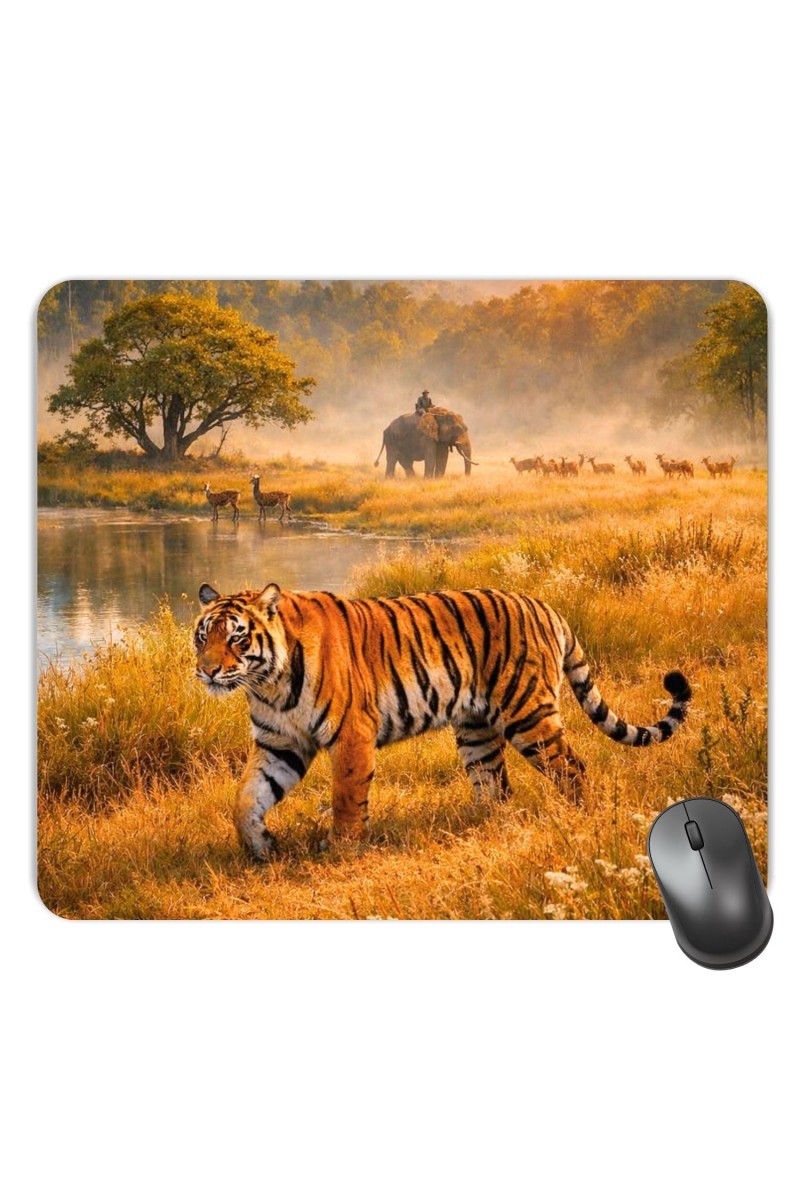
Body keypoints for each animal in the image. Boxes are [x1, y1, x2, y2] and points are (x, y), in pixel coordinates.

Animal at [194, 582, 691, 861]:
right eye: (203, 635)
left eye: (237, 637)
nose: (208, 671)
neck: (267, 682)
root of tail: (545, 606)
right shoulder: (280, 743)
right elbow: (246, 799)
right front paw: (260, 847)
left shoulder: (351, 734)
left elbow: (346, 798)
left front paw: (342, 848)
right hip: (476, 731)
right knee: (496, 789)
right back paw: (482, 829)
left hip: (528, 715)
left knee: (573, 768)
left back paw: (580, 821)